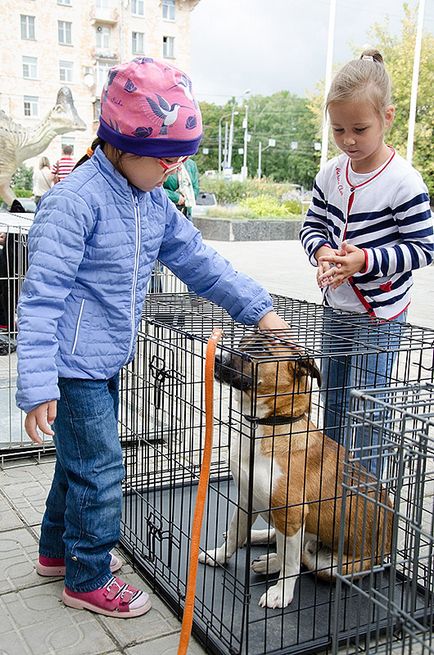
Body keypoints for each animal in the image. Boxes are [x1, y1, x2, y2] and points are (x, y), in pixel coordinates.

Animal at [200, 336, 394, 612]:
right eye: (242, 342)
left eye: (261, 349)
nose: (215, 357)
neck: (269, 424)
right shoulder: (247, 499)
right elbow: (236, 533)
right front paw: (218, 556)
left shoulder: (290, 513)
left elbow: (290, 563)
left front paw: (280, 593)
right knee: (278, 540)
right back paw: (260, 542)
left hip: (332, 565)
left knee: (301, 558)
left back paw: (271, 562)